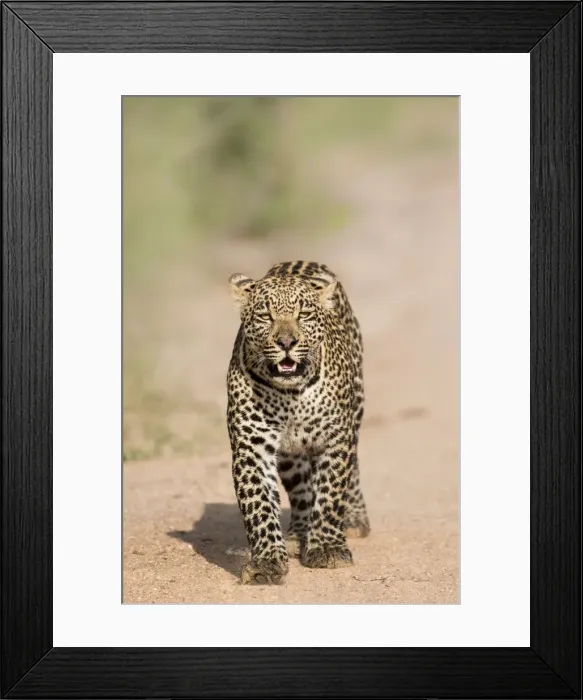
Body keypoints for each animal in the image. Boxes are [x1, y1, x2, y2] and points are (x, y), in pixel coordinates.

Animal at [227, 261, 370, 585]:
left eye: (303, 314)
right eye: (265, 316)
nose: (286, 342)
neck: (290, 394)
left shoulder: (335, 440)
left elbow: (330, 494)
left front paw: (328, 548)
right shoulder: (252, 448)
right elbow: (259, 504)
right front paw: (267, 562)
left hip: (355, 414)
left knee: (353, 469)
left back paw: (354, 520)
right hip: (291, 456)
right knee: (302, 490)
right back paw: (298, 534)